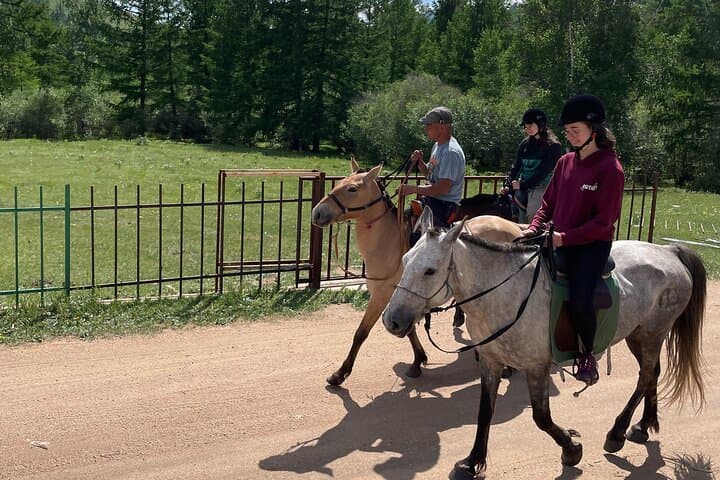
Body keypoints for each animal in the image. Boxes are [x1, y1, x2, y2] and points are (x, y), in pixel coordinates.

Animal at [311, 160, 520, 386]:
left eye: (352, 189)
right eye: (340, 182)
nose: (317, 213)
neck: (389, 240)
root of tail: (514, 226)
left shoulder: (383, 296)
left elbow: (361, 333)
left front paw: (340, 373)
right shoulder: (403, 299)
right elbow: (408, 329)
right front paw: (418, 360)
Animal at [382, 208, 706, 477]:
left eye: (430, 270)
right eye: (405, 261)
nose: (391, 320)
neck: (505, 292)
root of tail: (669, 251)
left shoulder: (535, 366)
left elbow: (541, 417)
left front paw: (572, 449)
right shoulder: (490, 360)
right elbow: (485, 411)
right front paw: (473, 462)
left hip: (653, 330)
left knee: (644, 376)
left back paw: (617, 432)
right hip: (638, 334)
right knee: (652, 373)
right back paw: (643, 425)